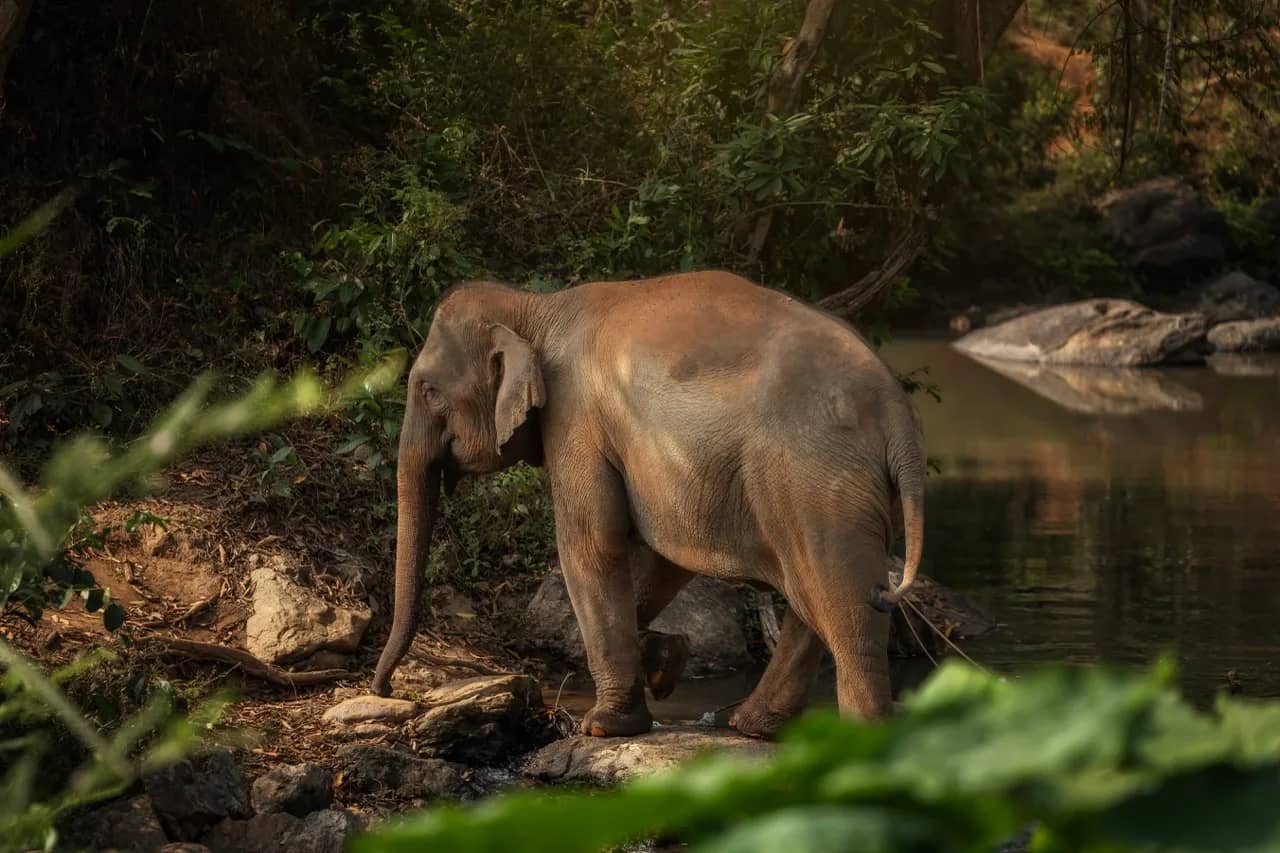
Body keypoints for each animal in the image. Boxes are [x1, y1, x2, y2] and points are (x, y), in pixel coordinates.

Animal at [370, 270, 925, 739]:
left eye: (428, 390)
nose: (385, 688)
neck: (534, 308)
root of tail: (897, 413)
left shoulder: (576, 419)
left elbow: (592, 544)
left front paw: (603, 726)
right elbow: (660, 560)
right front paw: (665, 660)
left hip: (817, 481)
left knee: (842, 603)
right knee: (815, 600)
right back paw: (753, 726)